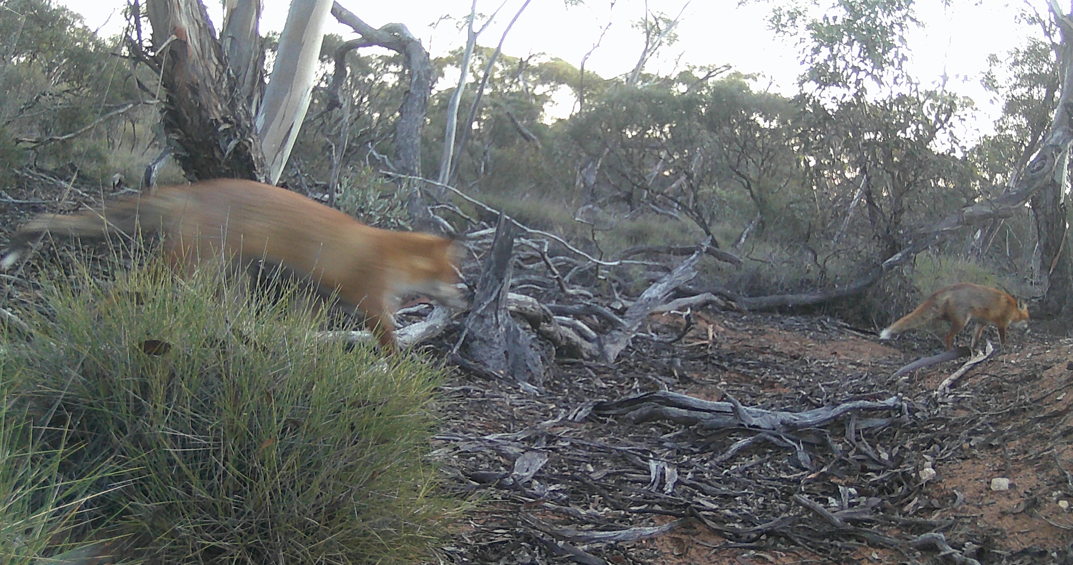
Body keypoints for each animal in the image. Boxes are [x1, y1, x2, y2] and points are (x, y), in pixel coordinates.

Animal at [0, 179, 465, 352]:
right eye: (455, 277)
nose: (468, 296)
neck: (383, 253)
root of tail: (196, 188)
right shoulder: (367, 299)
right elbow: (388, 339)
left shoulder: (315, 295)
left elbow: (301, 328)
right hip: (188, 266)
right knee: (127, 285)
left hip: (230, 273)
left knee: (231, 313)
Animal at [879, 283, 1029, 350]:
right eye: (1027, 319)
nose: (1029, 329)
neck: (1012, 308)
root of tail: (951, 287)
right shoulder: (1002, 323)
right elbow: (1003, 338)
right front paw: (1005, 346)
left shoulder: (981, 323)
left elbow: (975, 339)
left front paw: (973, 351)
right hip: (962, 322)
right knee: (948, 336)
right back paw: (950, 350)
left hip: (948, 316)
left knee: (935, 319)